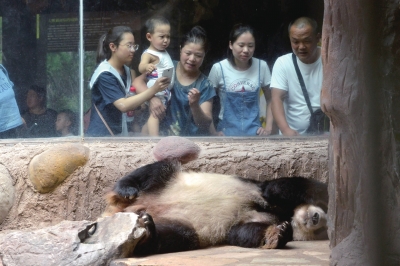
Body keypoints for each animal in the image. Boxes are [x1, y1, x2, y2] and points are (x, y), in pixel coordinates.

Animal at [102, 136, 328, 255]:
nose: (315, 218)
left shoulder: (248, 220)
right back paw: (126, 190)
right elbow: (277, 189)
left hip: (180, 222)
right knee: (158, 170)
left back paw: (148, 233)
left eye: (321, 231)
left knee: (178, 235)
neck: (290, 215)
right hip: (167, 182)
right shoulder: (264, 192)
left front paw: (278, 234)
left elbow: (242, 232)